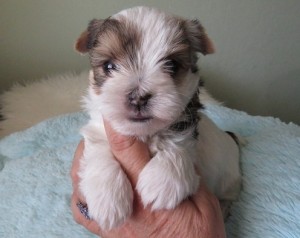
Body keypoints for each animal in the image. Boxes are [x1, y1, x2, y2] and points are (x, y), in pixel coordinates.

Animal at [74, 6, 241, 231]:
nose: (138, 97)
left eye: (172, 65)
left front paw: (163, 182)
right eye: (109, 66)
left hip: (229, 178)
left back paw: (223, 208)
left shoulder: (186, 126)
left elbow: (178, 143)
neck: (144, 135)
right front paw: (107, 198)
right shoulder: (100, 129)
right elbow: (99, 149)